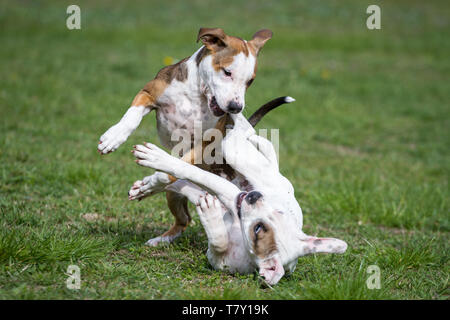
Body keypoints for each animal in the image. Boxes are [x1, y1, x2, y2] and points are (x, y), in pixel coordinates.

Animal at [131, 112, 348, 284]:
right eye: (279, 211)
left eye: (258, 229)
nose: (255, 195)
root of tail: (276, 172)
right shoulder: (230, 194)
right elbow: (192, 173)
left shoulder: (218, 257)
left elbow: (218, 241)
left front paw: (210, 215)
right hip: (235, 154)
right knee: (244, 130)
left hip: (231, 157)